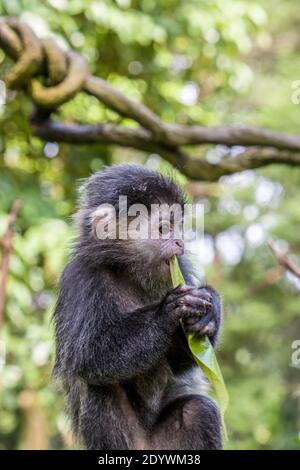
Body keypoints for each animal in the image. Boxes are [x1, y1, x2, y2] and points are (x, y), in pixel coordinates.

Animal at [53, 163, 223, 450]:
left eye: (179, 227)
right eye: (164, 228)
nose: (180, 242)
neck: (129, 273)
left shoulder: (180, 268)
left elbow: (179, 362)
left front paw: (210, 313)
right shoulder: (81, 277)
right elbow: (86, 356)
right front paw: (167, 312)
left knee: (198, 410)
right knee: (97, 382)